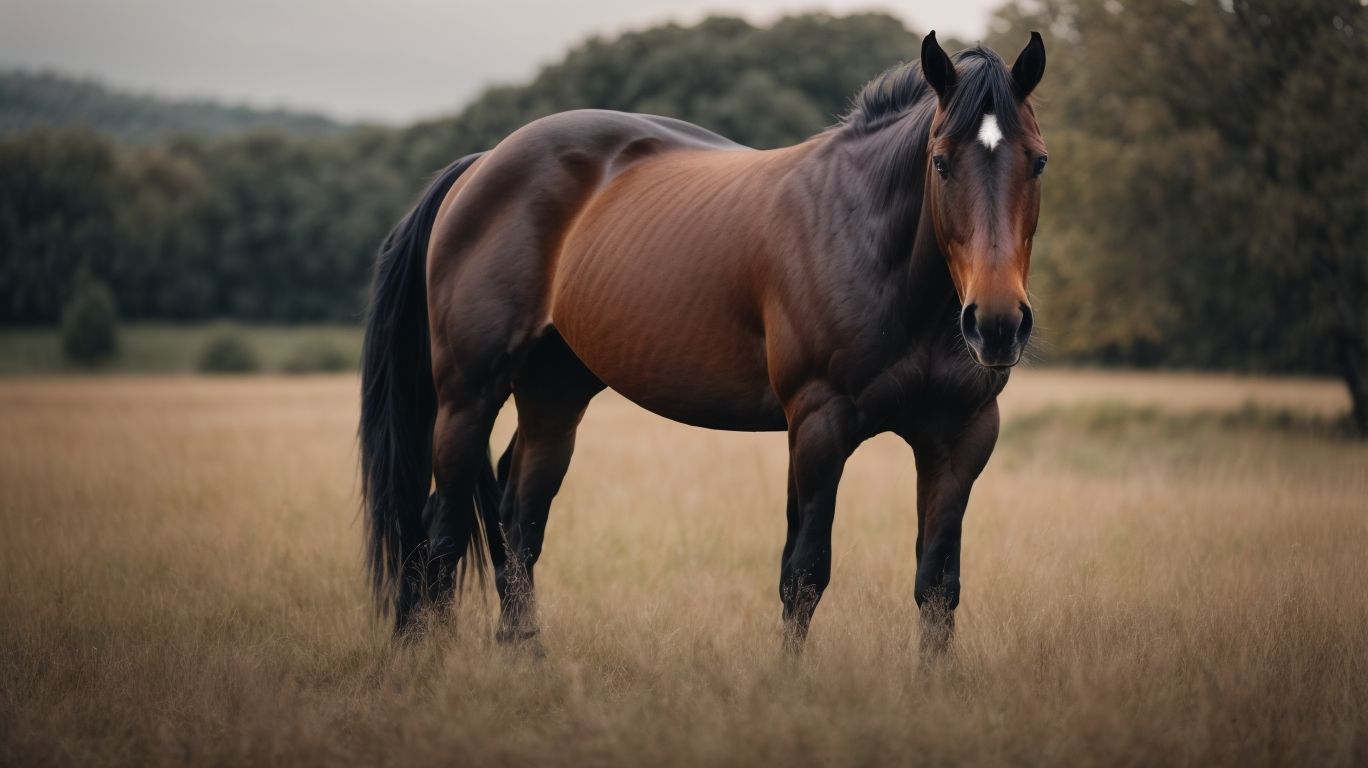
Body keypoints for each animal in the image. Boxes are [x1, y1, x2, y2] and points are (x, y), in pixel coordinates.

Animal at [359, 31, 1047, 654]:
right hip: (468, 397)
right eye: (941, 160)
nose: (995, 323)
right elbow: (804, 575)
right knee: (441, 529)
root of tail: (479, 165)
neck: (871, 243)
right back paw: (424, 659)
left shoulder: (960, 438)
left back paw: (521, 654)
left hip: (555, 391)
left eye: (1037, 160)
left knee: (517, 516)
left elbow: (937, 584)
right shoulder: (819, 426)